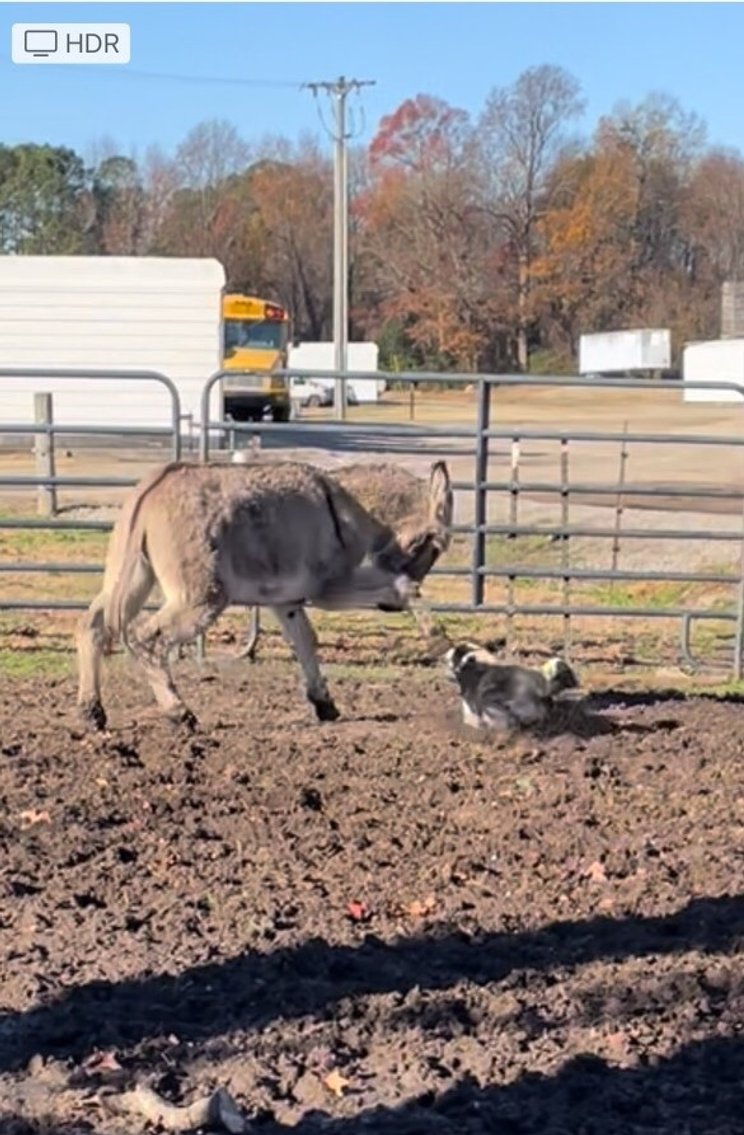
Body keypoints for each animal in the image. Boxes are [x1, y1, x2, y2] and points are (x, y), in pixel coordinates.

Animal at [75, 459, 452, 732]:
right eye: (436, 547)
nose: (386, 610)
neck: (351, 508)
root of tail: (152, 491)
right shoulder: (329, 589)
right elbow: (403, 587)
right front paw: (440, 642)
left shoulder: (286, 601)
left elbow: (305, 640)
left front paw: (323, 702)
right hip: (201, 598)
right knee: (145, 638)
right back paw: (179, 713)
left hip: (130, 578)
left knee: (92, 626)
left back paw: (92, 712)